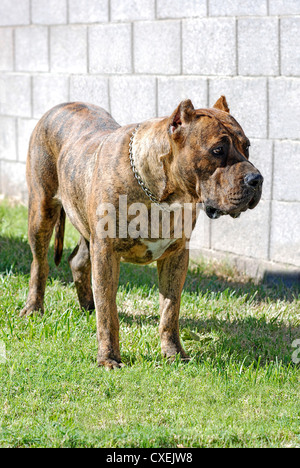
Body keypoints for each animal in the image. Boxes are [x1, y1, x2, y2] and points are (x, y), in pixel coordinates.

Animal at [20, 97, 262, 368]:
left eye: (247, 147)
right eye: (218, 150)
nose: (256, 179)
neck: (161, 194)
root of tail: (62, 105)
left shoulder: (176, 255)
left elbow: (170, 310)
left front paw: (173, 353)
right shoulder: (106, 253)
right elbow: (109, 311)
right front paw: (108, 358)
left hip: (84, 222)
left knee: (78, 261)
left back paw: (88, 307)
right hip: (42, 210)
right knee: (40, 264)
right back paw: (33, 308)